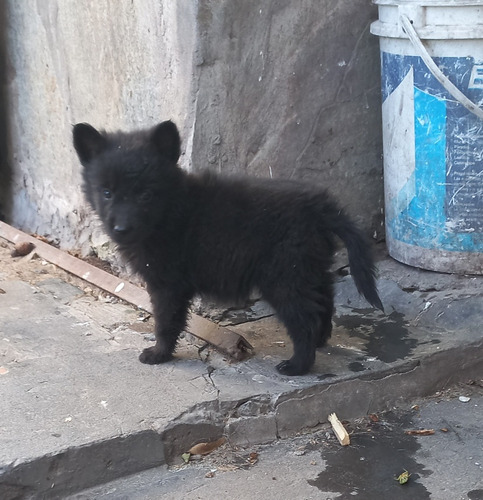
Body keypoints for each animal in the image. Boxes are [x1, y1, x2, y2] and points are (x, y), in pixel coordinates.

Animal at [73, 121, 382, 376]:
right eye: (107, 193)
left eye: (146, 195)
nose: (121, 229)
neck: (172, 208)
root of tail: (321, 208)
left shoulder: (168, 285)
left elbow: (166, 321)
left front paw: (159, 354)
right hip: (310, 268)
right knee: (324, 302)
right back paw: (320, 340)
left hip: (285, 277)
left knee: (304, 319)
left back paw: (297, 365)